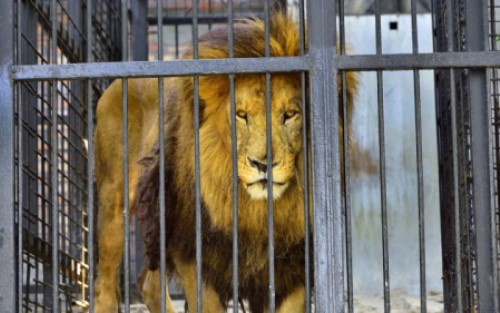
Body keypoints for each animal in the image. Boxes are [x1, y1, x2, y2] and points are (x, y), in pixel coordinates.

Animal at [93, 12, 356, 312]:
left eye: (290, 114)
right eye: (241, 115)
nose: (263, 164)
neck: (254, 213)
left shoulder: (293, 265)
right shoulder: (194, 252)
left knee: (148, 284)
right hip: (116, 202)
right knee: (105, 285)